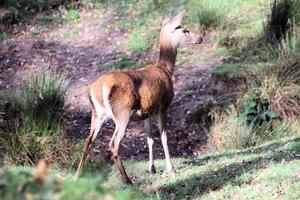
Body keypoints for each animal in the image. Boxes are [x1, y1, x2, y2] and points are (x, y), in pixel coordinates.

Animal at [74, 9, 203, 184]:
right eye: (184, 30)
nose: (200, 38)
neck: (165, 69)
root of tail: (98, 88)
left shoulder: (146, 112)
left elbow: (150, 138)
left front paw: (152, 168)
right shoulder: (163, 106)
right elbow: (164, 137)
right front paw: (170, 169)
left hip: (97, 114)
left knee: (88, 141)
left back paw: (76, 176)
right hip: (123, 112)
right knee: (113, 144)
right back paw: (127, 180)